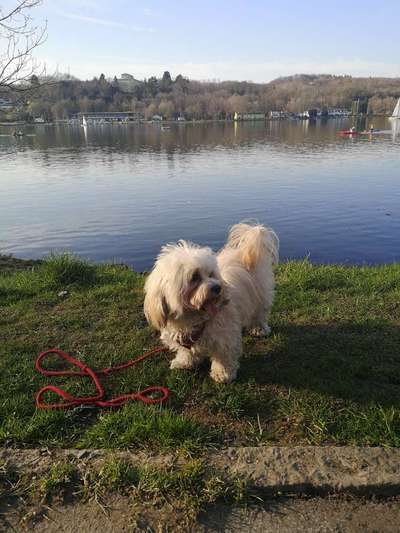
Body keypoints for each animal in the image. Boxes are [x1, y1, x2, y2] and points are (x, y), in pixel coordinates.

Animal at [144, 221, 278, 382]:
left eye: (211, 274)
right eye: (194, 277)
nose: (217, 287)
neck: (193, 318)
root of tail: (245, 249)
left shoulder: (224, 337)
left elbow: (223, 356)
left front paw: (223, 374)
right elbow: (186, 351)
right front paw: (184, 362)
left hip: (261, 296)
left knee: (259, 313)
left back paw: (259, 329)